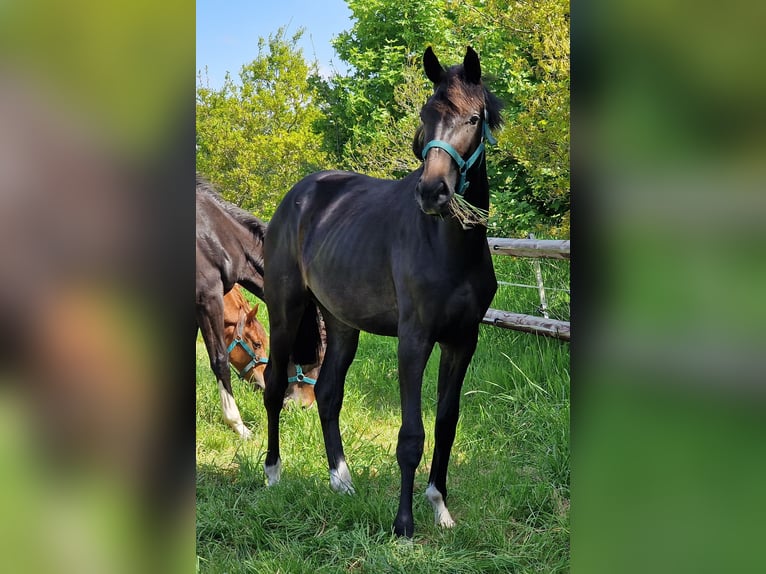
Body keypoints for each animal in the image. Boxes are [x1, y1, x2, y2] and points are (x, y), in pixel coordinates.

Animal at [264, 48, 504, 540]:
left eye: (473, 118)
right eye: (426, 115)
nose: (432, 192)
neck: (449, 247)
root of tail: (297, 195)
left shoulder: (462, 341)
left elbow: (446, 424)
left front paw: (440, 508)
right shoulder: (414, 340)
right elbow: (411, 435)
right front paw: (404, 524)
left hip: (340, 323)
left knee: (328, 392)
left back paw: (341, 480)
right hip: (285, 312)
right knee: (274, 384)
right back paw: (273, 474)